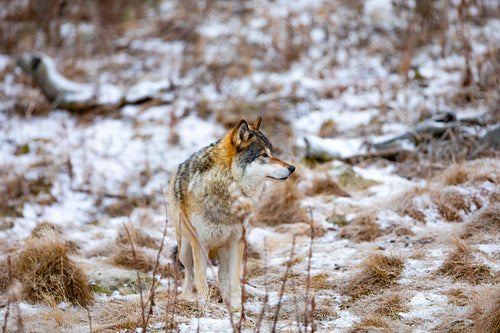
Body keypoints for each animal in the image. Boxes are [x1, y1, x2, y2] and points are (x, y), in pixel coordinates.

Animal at [169, 116, 292, 308]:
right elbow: (201, 279)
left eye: (272, 152)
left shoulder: (237, 241)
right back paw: (186, 295)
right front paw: (204, 305)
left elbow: (234, 280)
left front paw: (235, 308)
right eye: (264, 155)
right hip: (185, 249)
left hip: (223, 248)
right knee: (189, 273)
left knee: (222, 275)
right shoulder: (199, 243)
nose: (292, 168)